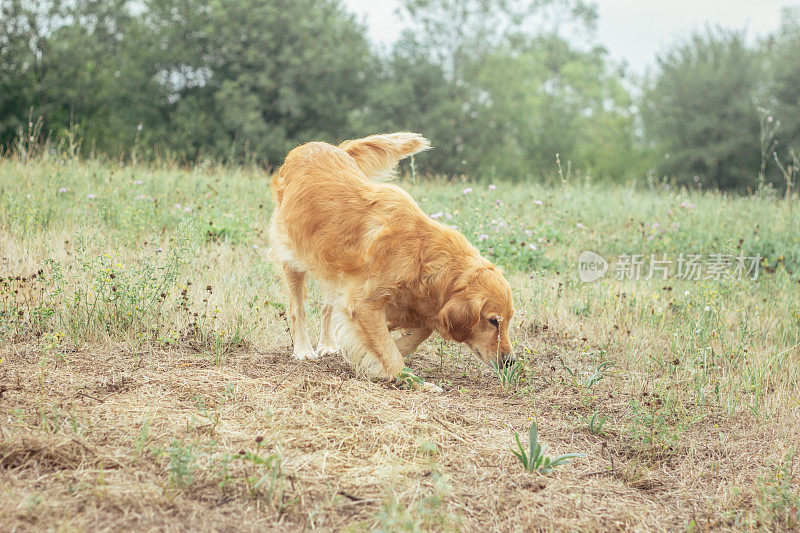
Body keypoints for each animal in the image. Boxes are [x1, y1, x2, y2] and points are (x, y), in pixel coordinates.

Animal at [268, 132, 516, 390]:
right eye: (493, 321)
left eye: (508, 320)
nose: (510, 361)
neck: (422, 252)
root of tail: (315, 145)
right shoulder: (364, 304)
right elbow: (390, 350)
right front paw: (412, 379)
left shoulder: (404, 304)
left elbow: (417, 333)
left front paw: (385, 356)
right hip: (292, 258)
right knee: (297, 308)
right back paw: (303, 349)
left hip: (334, 270)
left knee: (328, 308)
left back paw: (327, 345)